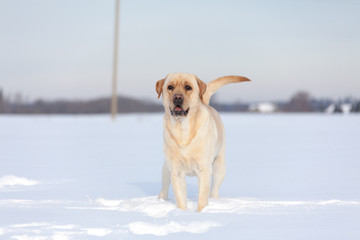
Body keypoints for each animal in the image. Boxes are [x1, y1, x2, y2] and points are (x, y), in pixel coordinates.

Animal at [155, 72, 250, 211]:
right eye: (170, 87)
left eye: (188, 87)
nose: (177, 97)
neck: (183, 130)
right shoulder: (176, 172)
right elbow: (181, 199)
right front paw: (182, 212)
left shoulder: (204, 169)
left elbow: (202, 198)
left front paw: (201, 212)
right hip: (166, 169)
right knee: (165, 187)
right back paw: (161, 200)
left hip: (219, 166)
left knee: (214, 189)